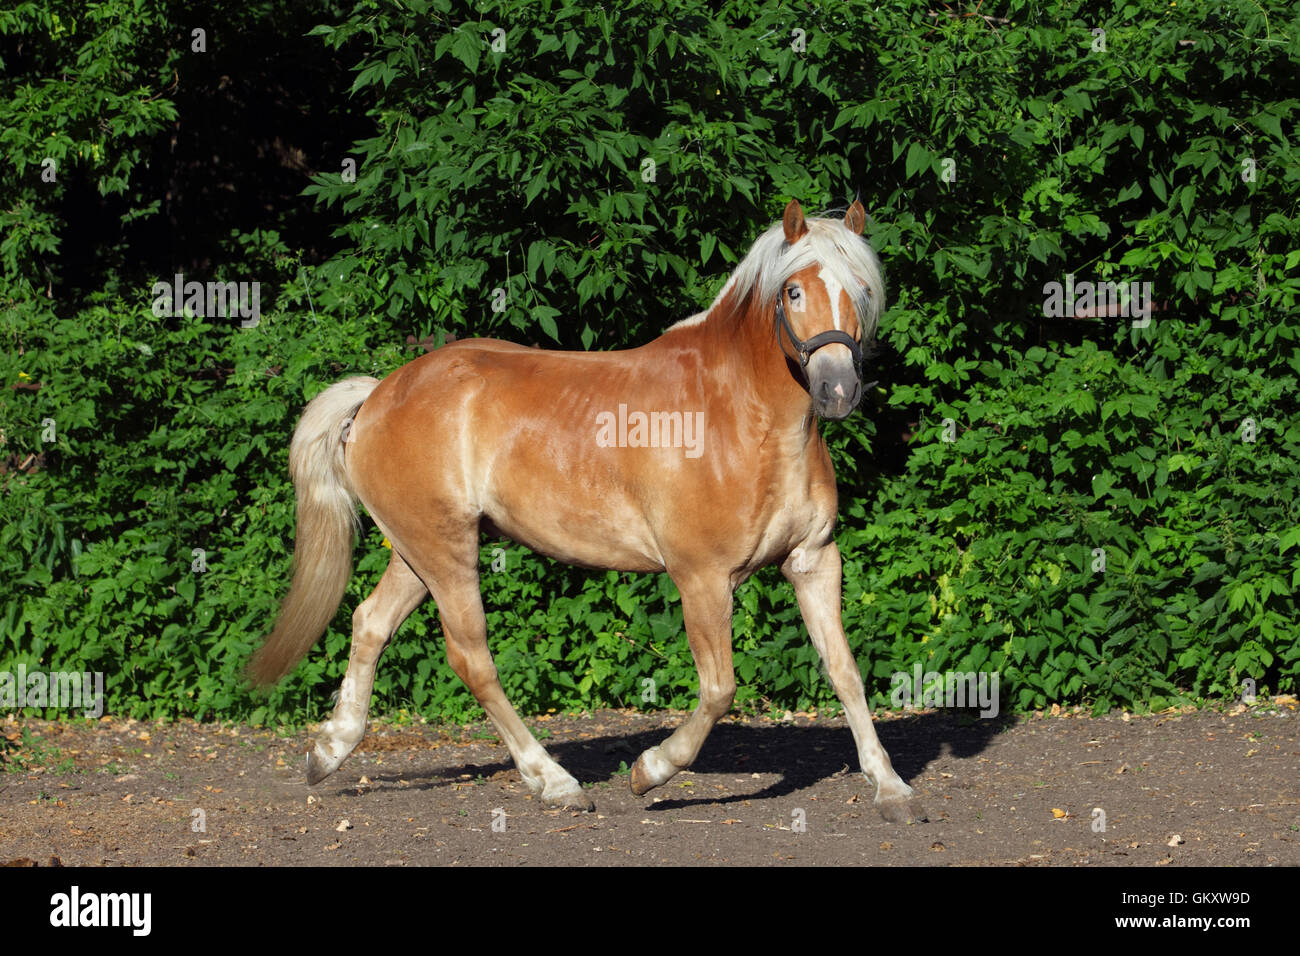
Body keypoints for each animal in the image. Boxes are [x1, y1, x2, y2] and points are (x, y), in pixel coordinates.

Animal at [248, 199, 928, 824]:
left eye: (863, 288)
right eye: (793, 290)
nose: (837, 390)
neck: (740, 418)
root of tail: (377, 396)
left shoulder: (813, 561)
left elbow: (845, 671)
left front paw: (892, 788)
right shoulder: (702, 578)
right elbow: (719, 690)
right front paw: (649, 772)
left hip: (422, 552)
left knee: (370, 623)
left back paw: (329, 751)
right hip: (445, 553)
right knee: (472, 658)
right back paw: (554, 782)